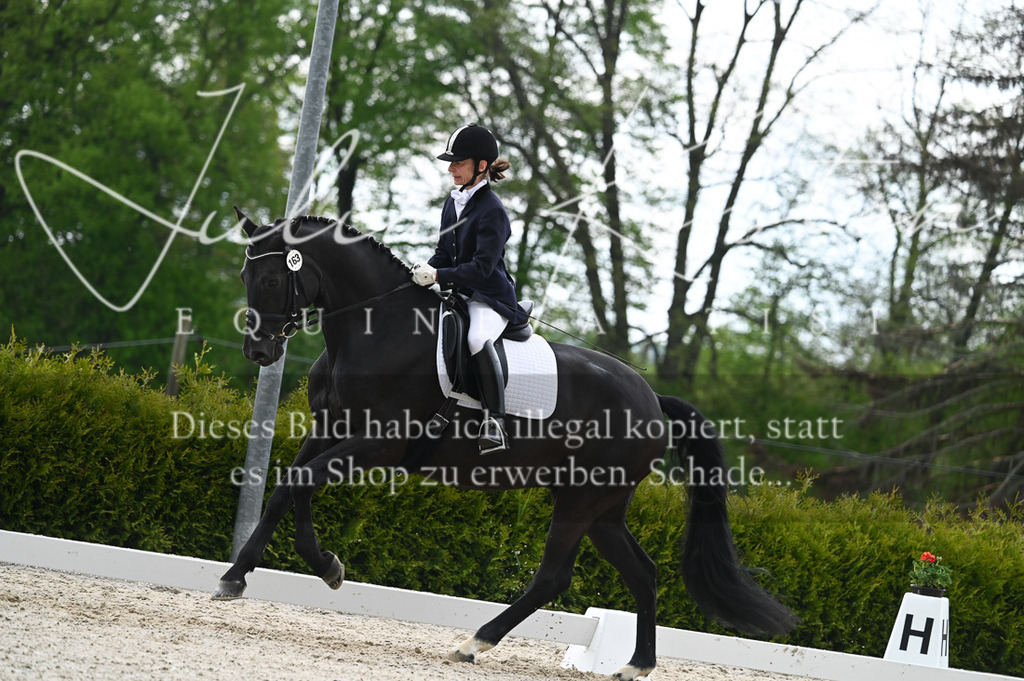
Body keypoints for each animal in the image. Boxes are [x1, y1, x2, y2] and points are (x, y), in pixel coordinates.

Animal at [212, 208, 798, 680]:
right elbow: (287, 489)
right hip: (603, 507)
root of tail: (652, 397)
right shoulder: (330, 429)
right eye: (244, 275)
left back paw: (474, 643)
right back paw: (635, 665)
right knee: (643, 572)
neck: (375, 329)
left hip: (583, 498)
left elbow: (299, 485)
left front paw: (312, 568)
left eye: (271, 277)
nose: (259, 352)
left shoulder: (378, 444)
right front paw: (250, 574)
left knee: (554, 577)